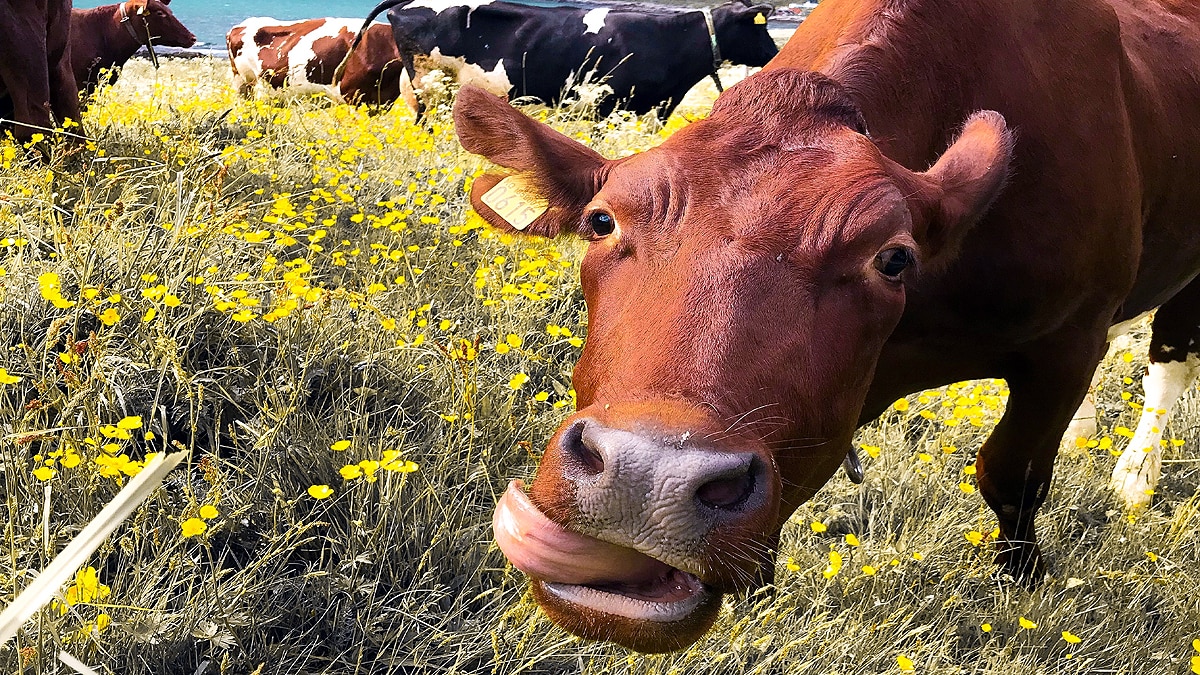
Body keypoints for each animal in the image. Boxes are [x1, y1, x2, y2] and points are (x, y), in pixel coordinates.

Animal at [456, 0, 1200, 655]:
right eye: (602, 220)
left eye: (893, 258)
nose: (647, 477)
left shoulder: (1067, 340)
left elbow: (1012, 472)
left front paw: (1021, 581)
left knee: (1169, 361)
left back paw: (1136, 474)